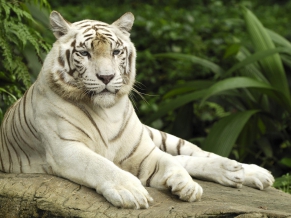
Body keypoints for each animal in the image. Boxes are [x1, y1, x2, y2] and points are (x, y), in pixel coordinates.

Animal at [0, 11, 274, 209]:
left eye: (116, 51)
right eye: (84, 53)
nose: (107, 77)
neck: (106, 111)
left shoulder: (142, 152)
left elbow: (170, 162)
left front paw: (187, 186)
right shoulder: (66, 149)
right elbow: (100, 165)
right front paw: (131, 191)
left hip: (158, 136)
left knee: (192, 154)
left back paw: (245, 171)